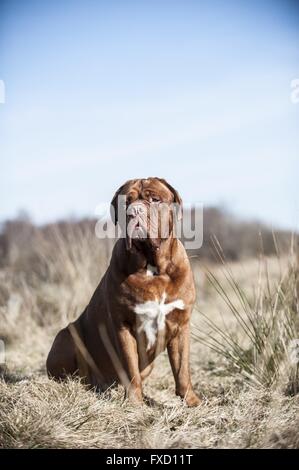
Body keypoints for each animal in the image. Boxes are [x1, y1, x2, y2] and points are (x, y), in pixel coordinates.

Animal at [46, 178, 202, 406]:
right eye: (126, 202)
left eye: (155, 200)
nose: (134, 211)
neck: (153, 268)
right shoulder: (124, 326)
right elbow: (130, 367)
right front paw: (134, 403)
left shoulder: (181, 324)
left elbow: (182, 368)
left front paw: (190, 400)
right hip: (65, 336)